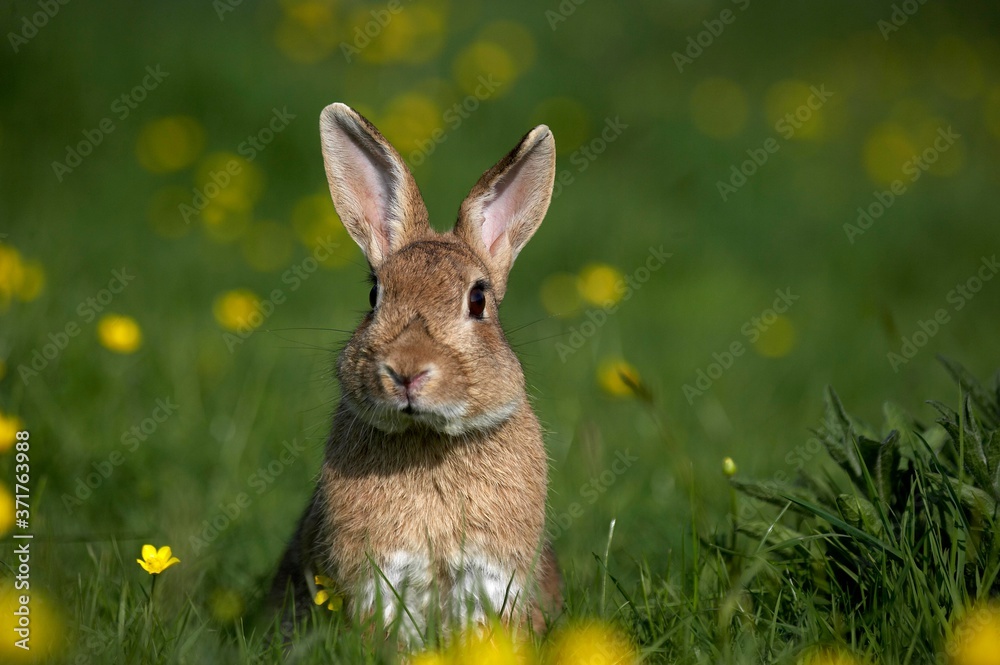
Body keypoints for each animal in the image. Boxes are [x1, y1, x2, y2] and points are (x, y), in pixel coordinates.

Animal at [268, 102, 561, 642]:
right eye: (374, 295)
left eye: (478, 299)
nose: (406, 372)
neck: (428, 437)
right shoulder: (381, 574)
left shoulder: (490, 575)